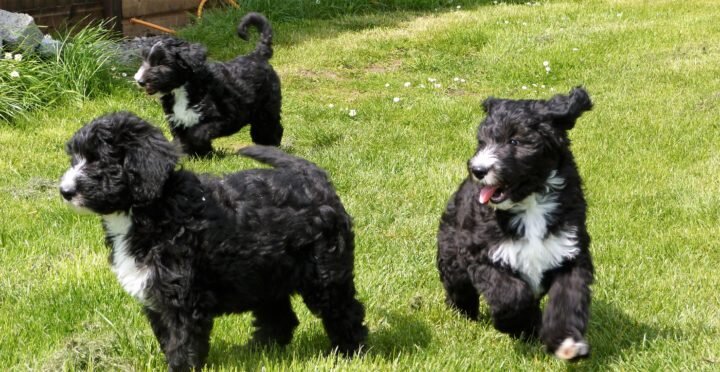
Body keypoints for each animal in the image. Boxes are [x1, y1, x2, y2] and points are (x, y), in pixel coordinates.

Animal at [59, 112, 368, 370]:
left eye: (98, 160)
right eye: (75, 159)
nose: (65, 191)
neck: (153, 206)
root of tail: (314, 179)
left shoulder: (181, 298)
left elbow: (181, 341)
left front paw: (181, 368)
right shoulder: (156, 296)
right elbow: (166, 338)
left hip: (324, 272)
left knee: (344, 310)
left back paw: (348, 352)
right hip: (266, 273)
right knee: (280, 316)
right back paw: (257, 350)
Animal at [134, 12, 282, 155]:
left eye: (162, 63)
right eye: (144, 60)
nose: (140, 81)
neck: (182, 89)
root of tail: (257, 55)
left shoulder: (224, 118)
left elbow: (197, 133)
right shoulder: (176, 120)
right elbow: (182, 140)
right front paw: (193, 156)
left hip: (267, 106)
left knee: (269, 126)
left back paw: (269, 146)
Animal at [438, 87, 596, 360]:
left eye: (515, 141)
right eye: (482, 142)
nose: (477, 170)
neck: (530, 204)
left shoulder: (570, 252)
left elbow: (567, 299)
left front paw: (564, 340)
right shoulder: (482, 254)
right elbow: (511, 296)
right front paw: (517, 325)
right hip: (452, 254)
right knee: (459, 288)